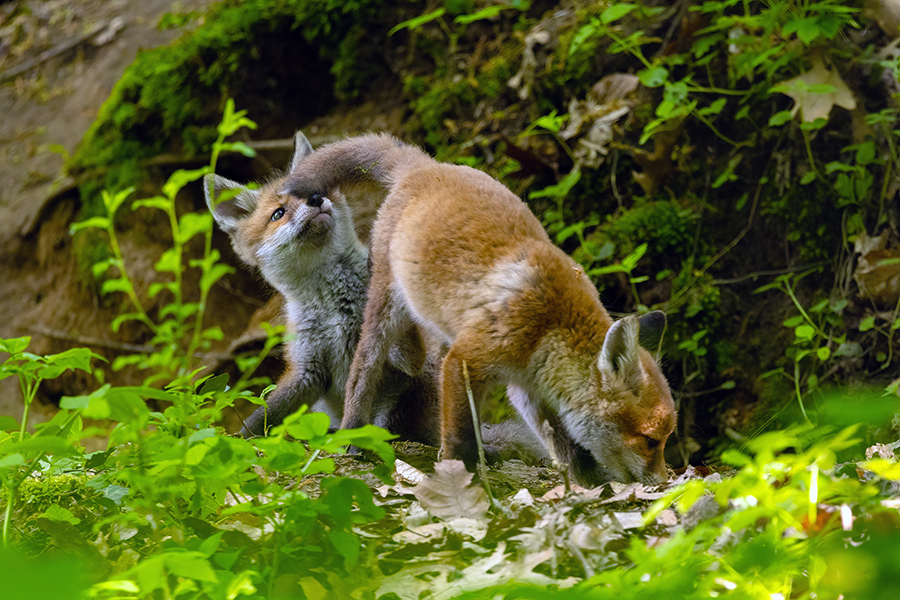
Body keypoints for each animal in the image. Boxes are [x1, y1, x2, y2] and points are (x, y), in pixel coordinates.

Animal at [204, 132, 438, 442]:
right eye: (278, 213)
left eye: (315, 191)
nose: (315, 199)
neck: (334, 306)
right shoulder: (308, 370)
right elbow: (260, 418)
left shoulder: (407, 366)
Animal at [282, 133, 677, 486]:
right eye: (650, 441)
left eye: (666, 439)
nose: (661, 483)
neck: (548, 324)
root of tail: (426, 164)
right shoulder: (465, 361)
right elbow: (461, 438)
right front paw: (462, 480)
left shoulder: (527, 387)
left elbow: (567, 446)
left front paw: (591, 484)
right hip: (388, 309)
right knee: (363, 368)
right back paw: (354, 432)